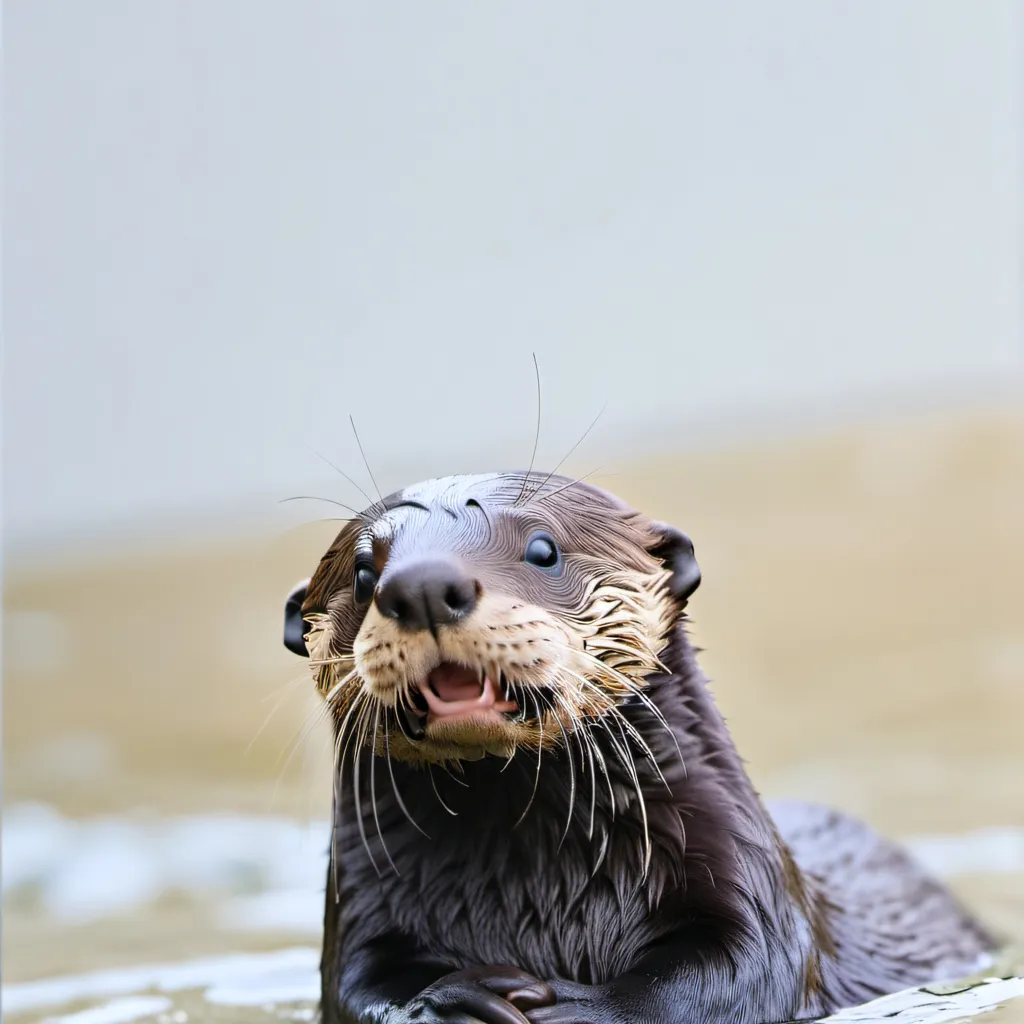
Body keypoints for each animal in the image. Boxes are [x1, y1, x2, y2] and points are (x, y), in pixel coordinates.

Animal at [282, 472, 994, 1024]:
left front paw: (582, 1009)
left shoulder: (745, 878)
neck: (535, 885)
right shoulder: (361, 911)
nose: (424, 584)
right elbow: (354, 990)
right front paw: (446, 1002)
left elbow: (737, 970)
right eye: (364, 575)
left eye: (543, 549)